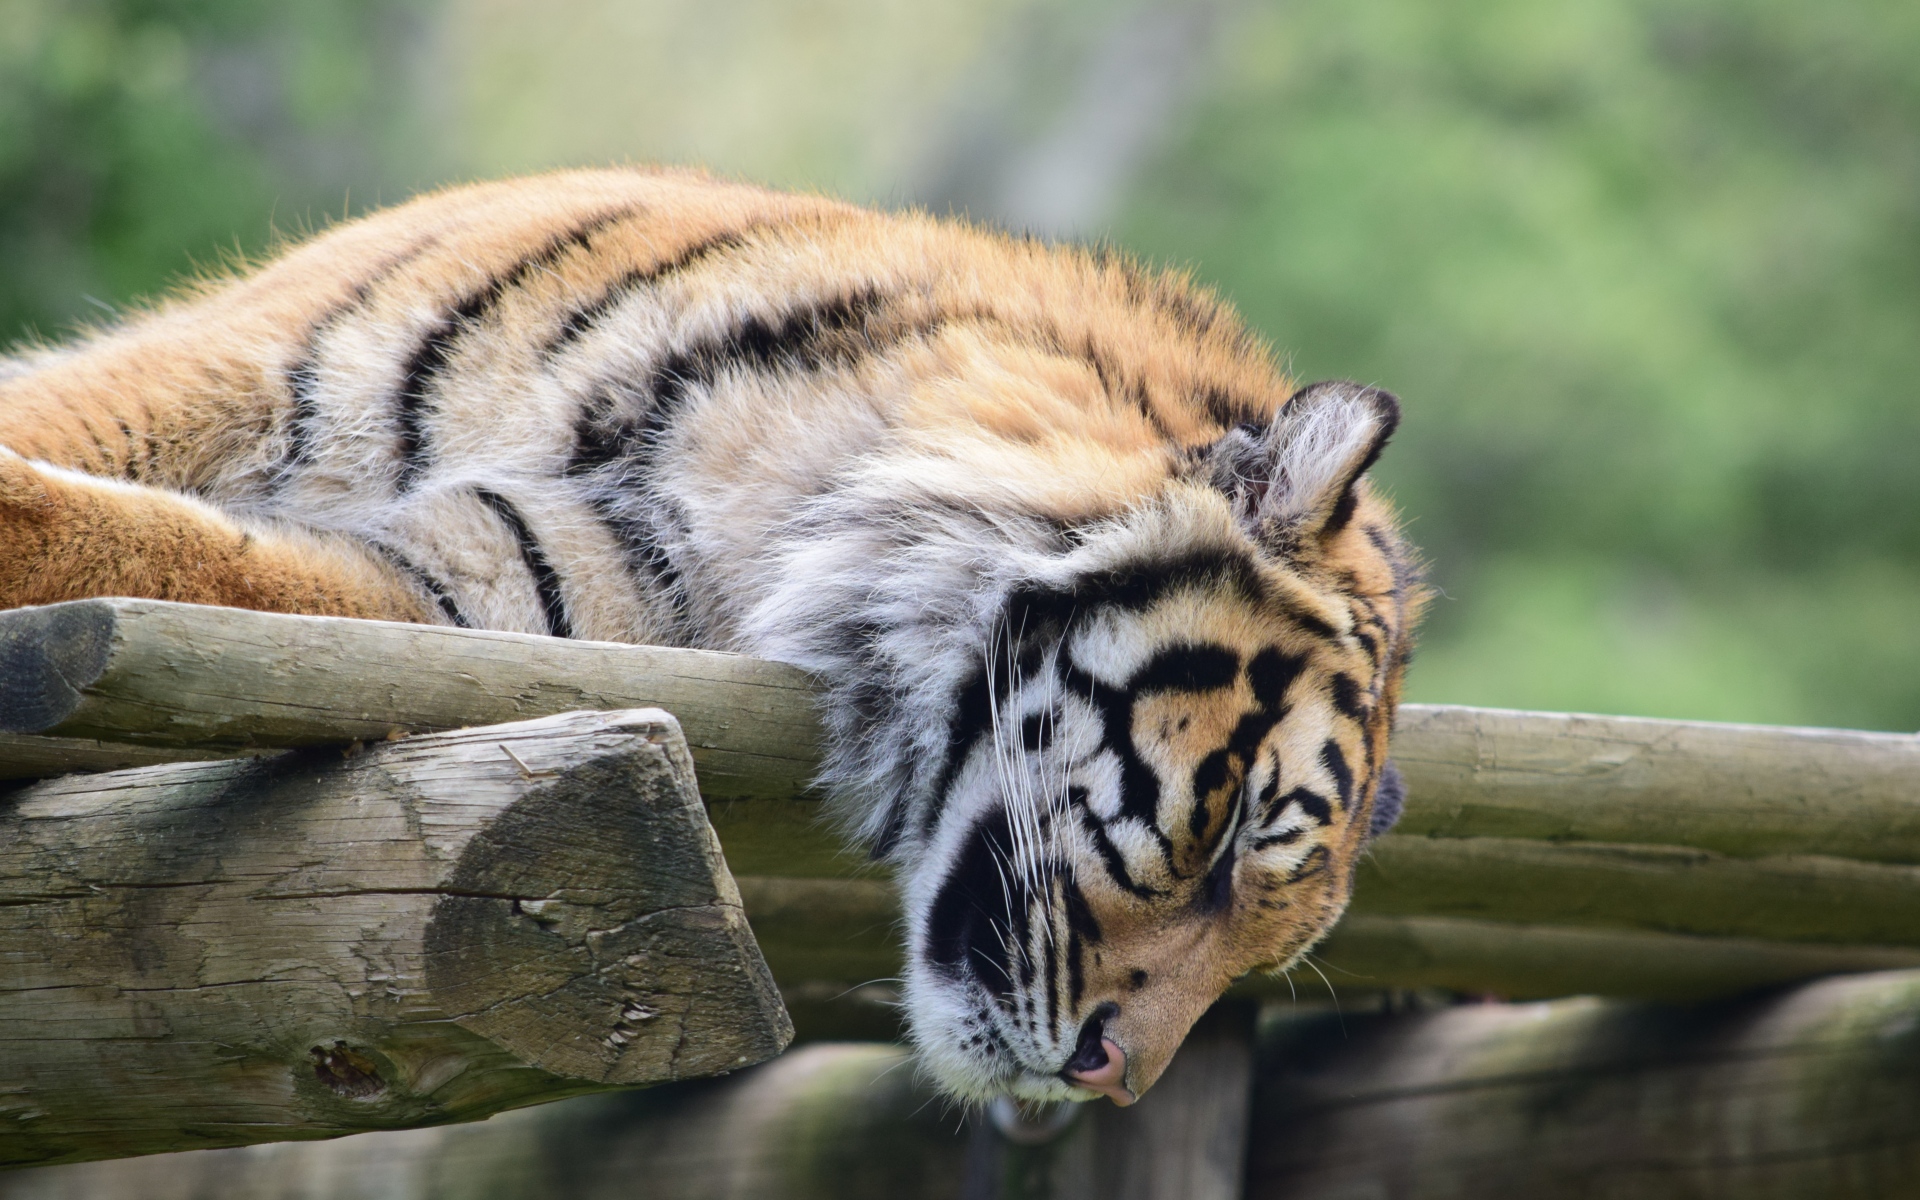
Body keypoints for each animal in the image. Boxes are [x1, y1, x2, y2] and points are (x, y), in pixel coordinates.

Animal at [0, 167, 1424, 1107]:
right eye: (1233, 836)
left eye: (1268, 939)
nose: (1111, 1080)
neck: (796, 490)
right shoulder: (235, 360)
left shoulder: (467, 593)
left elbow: (195, 557)